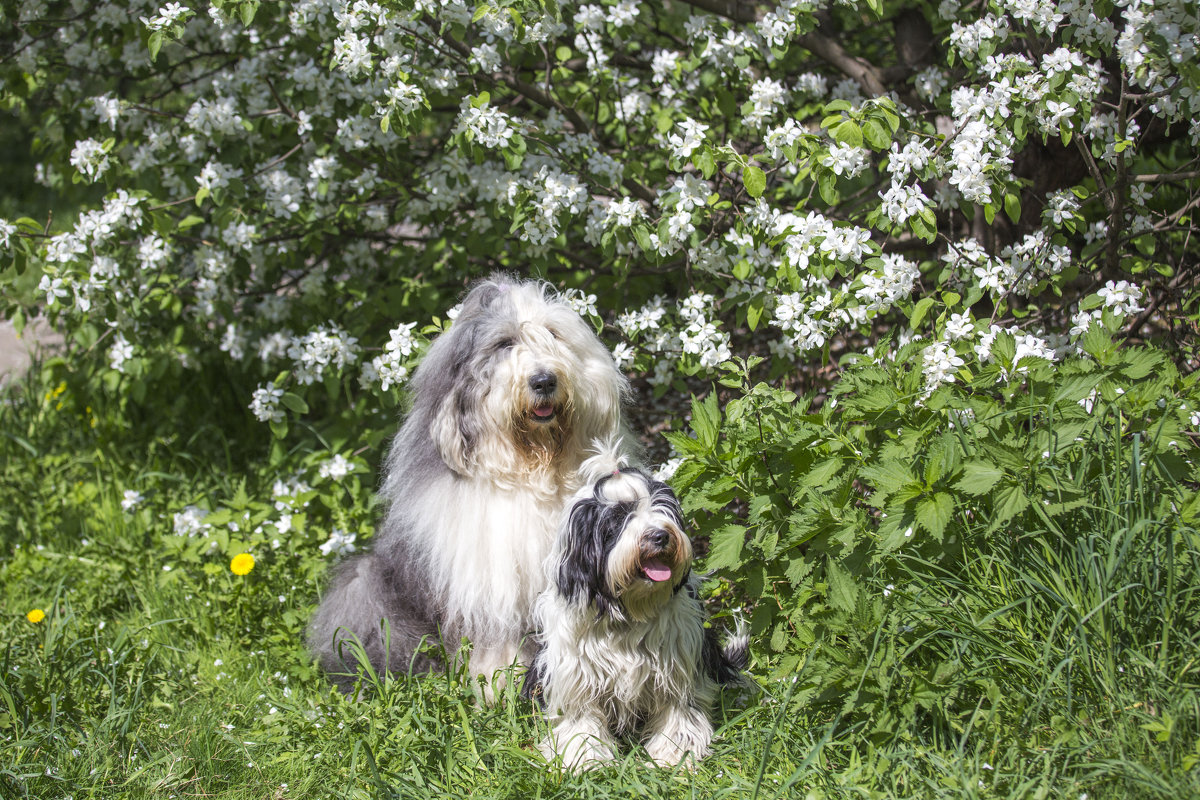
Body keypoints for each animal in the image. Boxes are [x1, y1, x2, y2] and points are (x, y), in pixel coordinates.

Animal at [307, 273, 628, 695]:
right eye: (504, 344)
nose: (544, 381)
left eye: (554, 335)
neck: (533, 472)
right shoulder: (491, 585)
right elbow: (496, 639)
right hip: (367, 589)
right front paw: (498, 687)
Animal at [523, 450, 744, 767]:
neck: (629, 613)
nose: (660, 536)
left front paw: (674, 754)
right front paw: (586, 757)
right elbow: (582, 718)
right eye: (617, 519)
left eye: (663, 508)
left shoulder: (677, 666)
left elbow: (679, 710)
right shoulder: (577, 674)